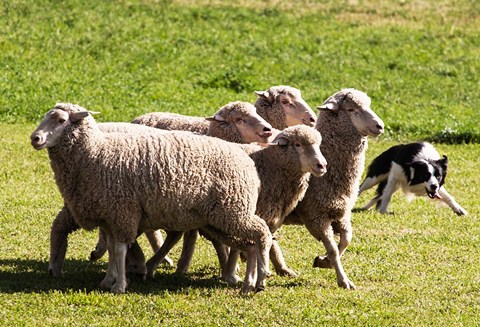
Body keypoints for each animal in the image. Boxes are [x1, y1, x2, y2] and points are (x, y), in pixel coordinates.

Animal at [31, 103, 274, 294]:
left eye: (61, 120)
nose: (35, 138)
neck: (95, 152)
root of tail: (247, 161)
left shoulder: (123, 211)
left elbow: (119, 249)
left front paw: (119, 285)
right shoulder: (111, 215)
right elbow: (113, 249)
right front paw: (109, 279)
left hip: (233, 211)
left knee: (262, 233)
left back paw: (260, 277)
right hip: (221, 218)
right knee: (250, 244)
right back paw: (248, 283)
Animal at [144, 125, 328, 284]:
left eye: (318, 145)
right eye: (298, 144)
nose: (322, 165)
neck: (272, 165)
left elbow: (267, 240)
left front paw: (281, 269)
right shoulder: (243, 211)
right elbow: (247, 243)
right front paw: (233, 274)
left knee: (181, 235)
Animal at [282, 89, 386, 290]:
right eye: (351, 109)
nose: (380, 126)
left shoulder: (341, 213)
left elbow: (346, 240)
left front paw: (323, 262)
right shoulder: (316, 216)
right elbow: (333, 249)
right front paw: (343, 280)